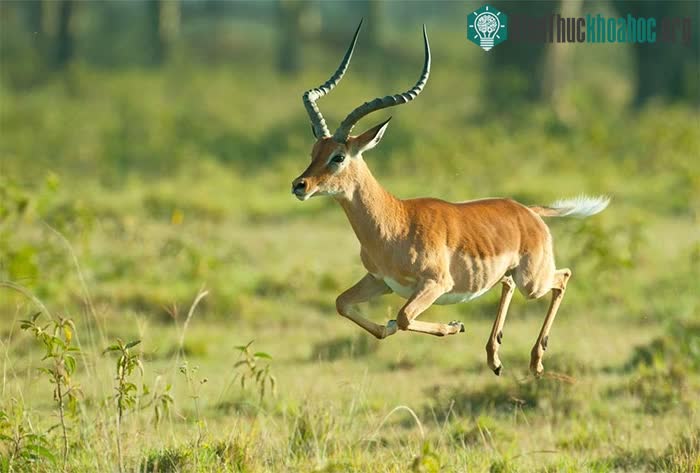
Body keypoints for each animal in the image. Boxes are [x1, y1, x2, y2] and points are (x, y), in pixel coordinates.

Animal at [291, 21, 609, 376]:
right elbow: (343, 304)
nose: (300, 185)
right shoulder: (381, 280)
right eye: (314, 151)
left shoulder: (435, 284)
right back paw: (495, 358)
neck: (395, 224)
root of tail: (527, 211)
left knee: (563, 277)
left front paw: (453, 326)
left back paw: (535, 362)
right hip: (513, 276)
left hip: (534, 281)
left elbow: (403, 316)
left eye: (339, 156)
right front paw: (389, 327)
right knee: (509, 284)